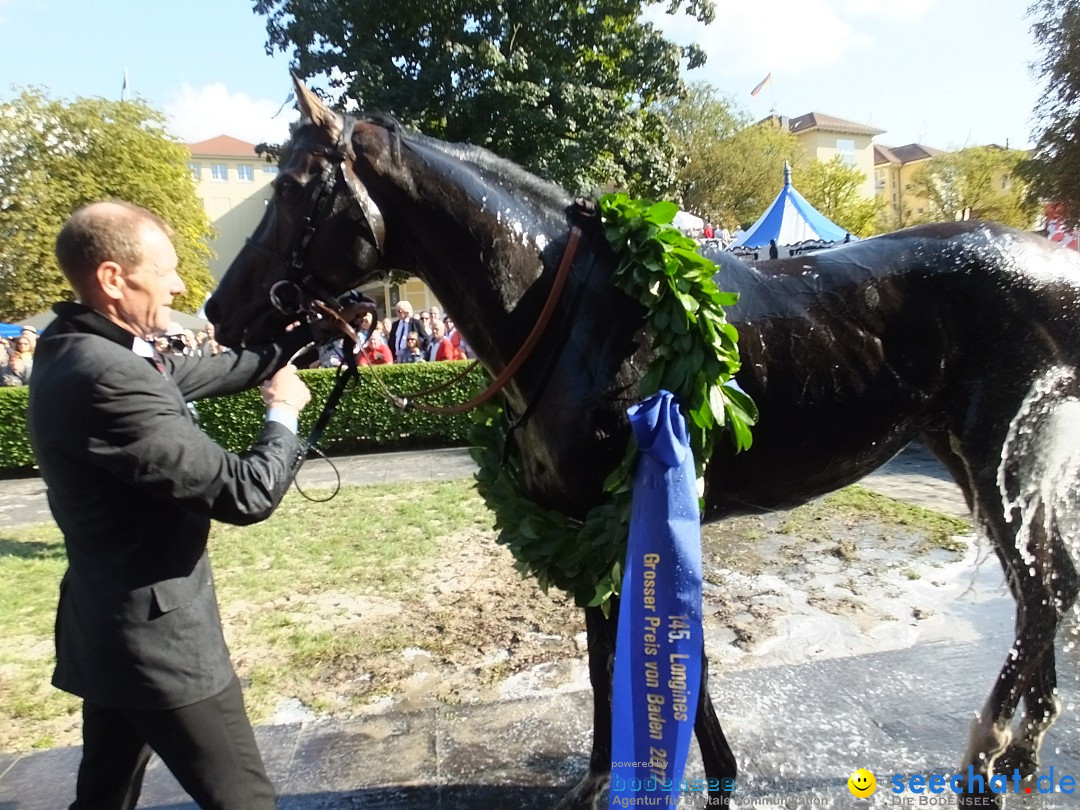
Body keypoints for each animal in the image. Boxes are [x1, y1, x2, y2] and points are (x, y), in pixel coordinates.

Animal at [208, 79, 1080, 807]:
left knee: (1043, 594)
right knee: (1048, 592)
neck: (574, 312)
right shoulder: (587, 525)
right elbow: (602, 658)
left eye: (293, 186)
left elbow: (638, 647)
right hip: (974, 458)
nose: (219, 310)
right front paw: (621, 776)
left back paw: (990, 757)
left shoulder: (629, 507)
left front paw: (681, 773)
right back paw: (1022, 756)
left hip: (1004, 455)